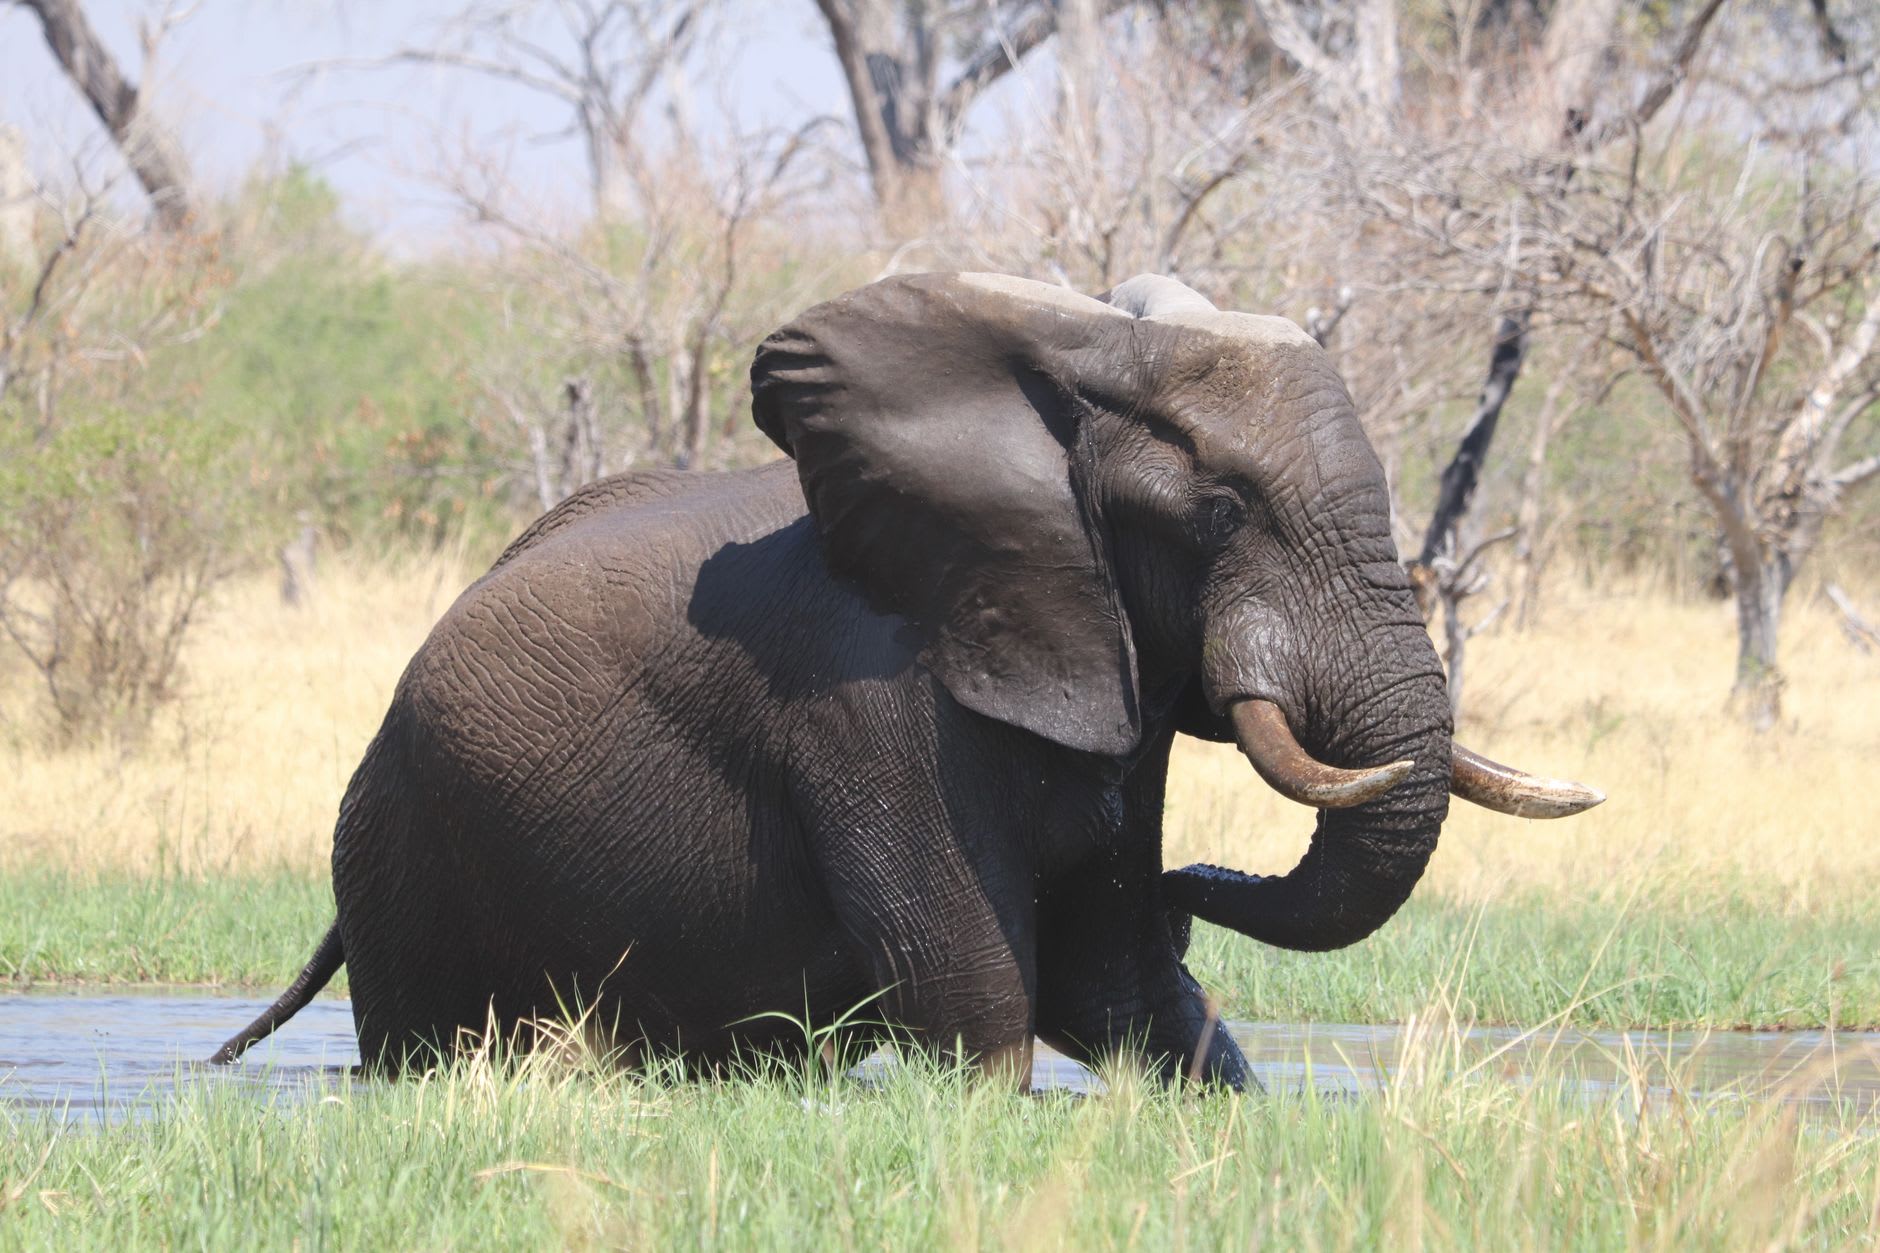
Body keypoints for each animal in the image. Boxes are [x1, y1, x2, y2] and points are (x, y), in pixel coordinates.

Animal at [212, 272, 1600, 1088]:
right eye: (1221, 509)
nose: (1188, 888)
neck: (1077, 357)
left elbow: (1120, 986)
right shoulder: (866, 710)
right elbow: (976, 999)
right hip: (404, 843)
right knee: (428, 1042)